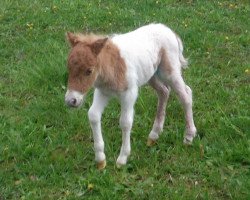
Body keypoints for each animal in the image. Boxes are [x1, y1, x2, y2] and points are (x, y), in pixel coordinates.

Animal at [65, 24, 197, 170]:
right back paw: (154, 135)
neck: (112, 66)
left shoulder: (129, 93)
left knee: (186, 95)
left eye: (89, 71)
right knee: (164, 91)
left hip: (170, 72)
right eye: (68, 67)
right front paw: (100, 160)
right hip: (151, 75)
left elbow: (125, 122)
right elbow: (93, 115)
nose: (71, 100)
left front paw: (122, 158)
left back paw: (189, 136)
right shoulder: (103, 92)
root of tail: (170, 31)